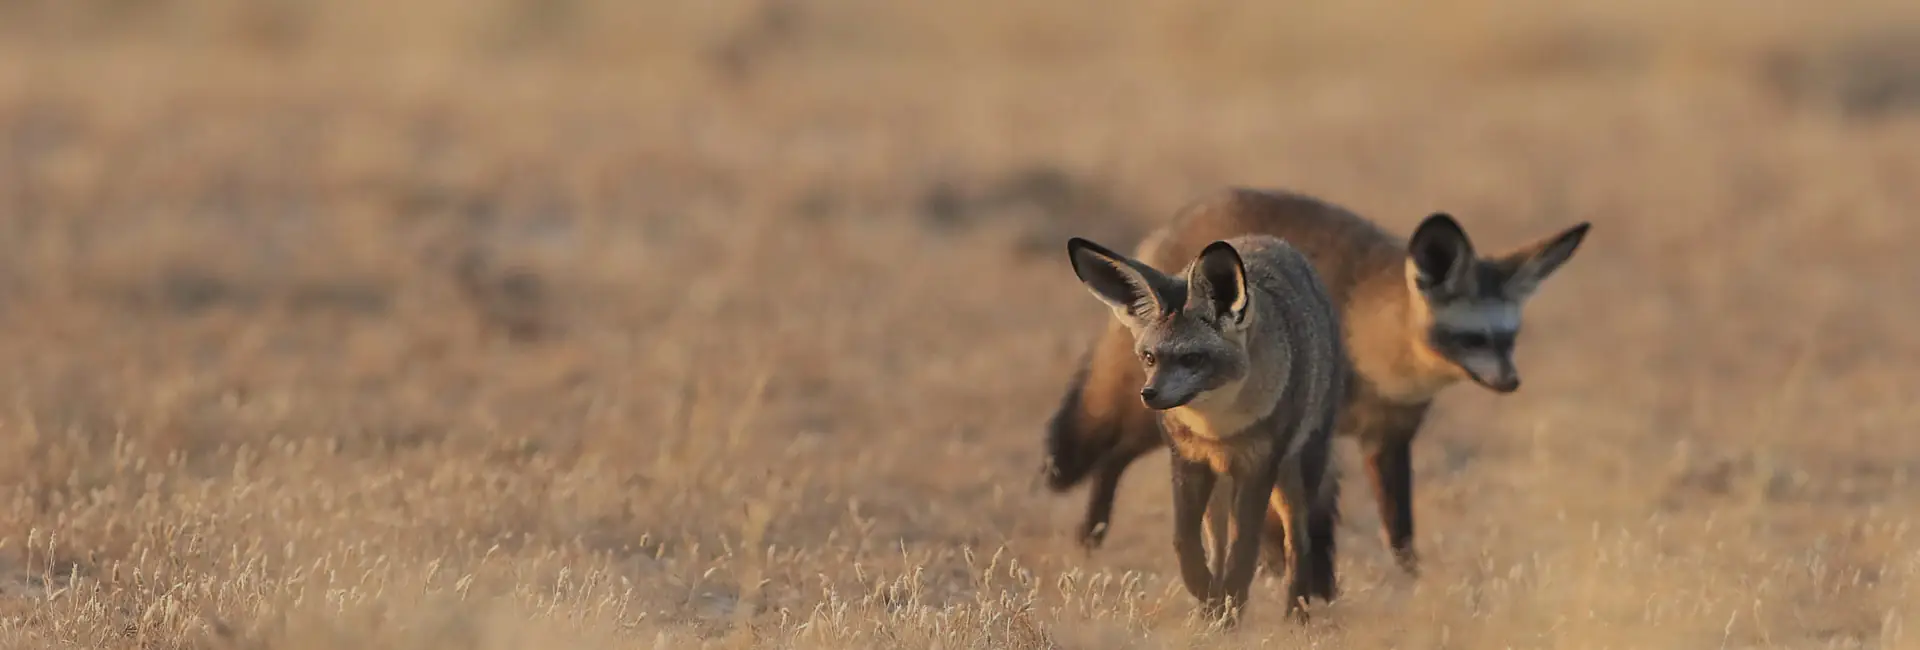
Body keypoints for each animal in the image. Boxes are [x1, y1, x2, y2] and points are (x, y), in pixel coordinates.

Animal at [1044, 186, 1582, 575]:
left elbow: (1399, 531)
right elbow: (1309, 524)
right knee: (1111, 457)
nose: (1510, 382)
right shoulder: (1313, 437)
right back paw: (1092, 536)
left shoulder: (1388, 437)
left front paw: (1411, 584)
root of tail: (1173, 224)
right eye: (1471, 338)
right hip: (1158, 413)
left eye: (1507, 338)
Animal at [1067, 233, 1351, 625]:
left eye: (1192, 358)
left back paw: (1296, 613)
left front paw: (1232, 605)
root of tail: (1269, 241)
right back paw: (1213, 607)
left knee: (1298, 541)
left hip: (1292, 478)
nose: (1148, 394)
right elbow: (1185, 543)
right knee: (1217, 542)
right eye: (1149, 357)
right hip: (1220, 488)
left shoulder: (1258, 467)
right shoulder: (1187, 460)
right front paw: (1208, 596)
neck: (1220, 429)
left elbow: (1245, 548)